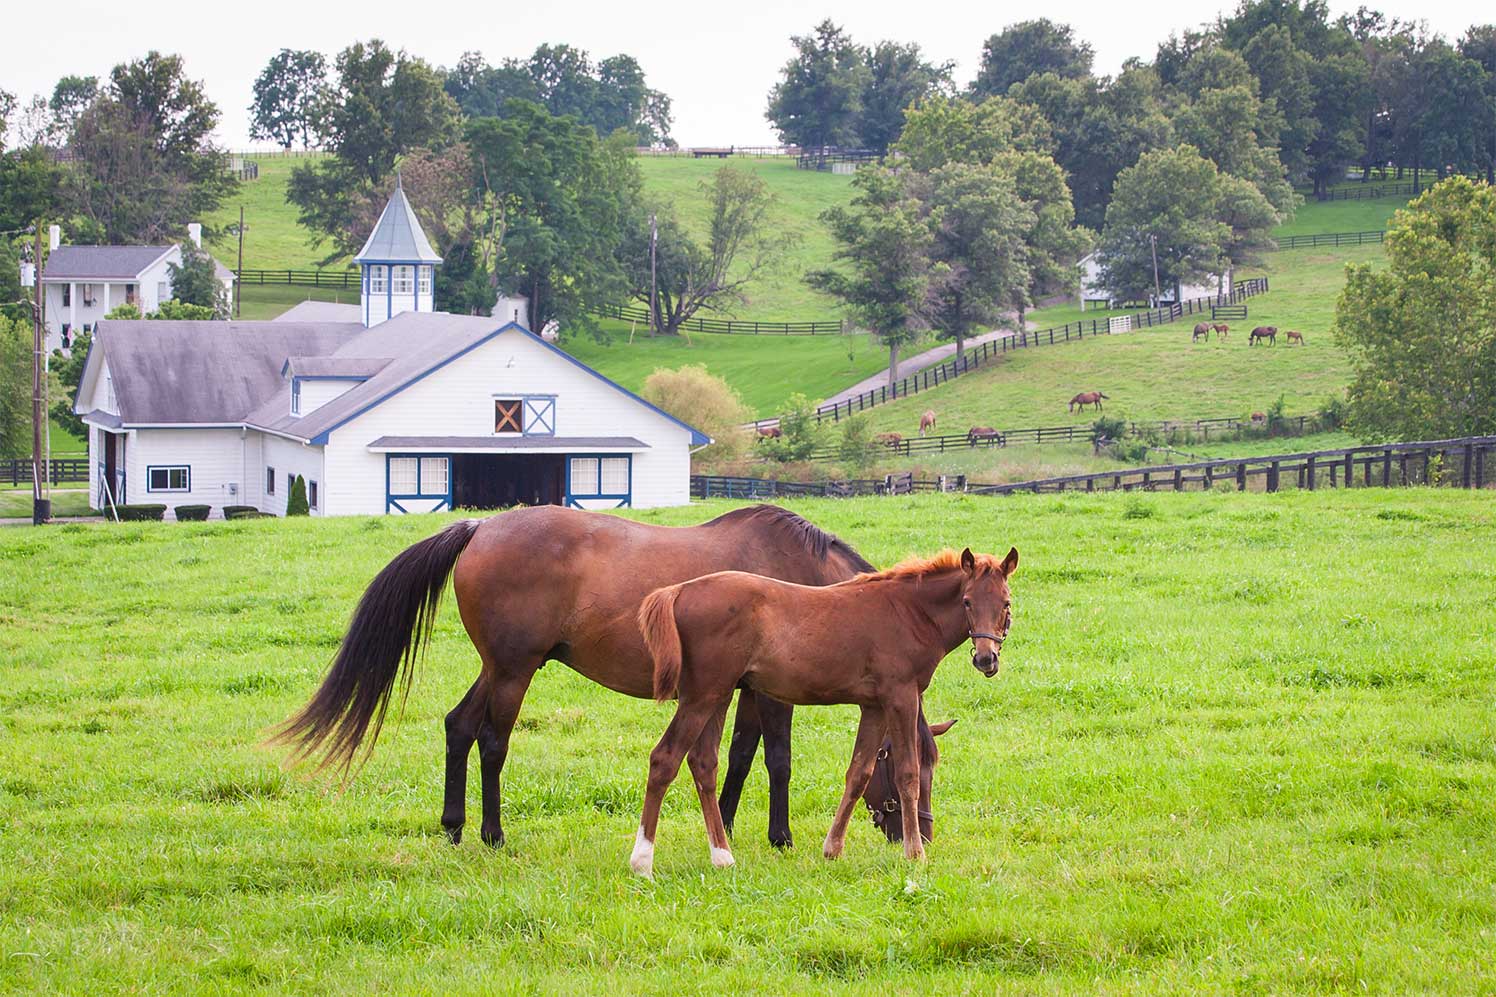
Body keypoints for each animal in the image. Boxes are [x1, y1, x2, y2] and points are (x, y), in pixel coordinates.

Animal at [270, 505, 939, 844]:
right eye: (914, 769)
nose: (922, 834)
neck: (805, 579)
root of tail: (481, 527)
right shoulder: (775, 694)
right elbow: (777, 760)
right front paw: (780, 838)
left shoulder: (745, 689)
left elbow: (741, 755)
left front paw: (723, 823)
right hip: (514, 671)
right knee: (490, 740)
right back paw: (492, 833)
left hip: (498, 667)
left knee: (458, 727)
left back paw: (455, 827)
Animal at [631, 538, 1017, 874]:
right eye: (966, 601)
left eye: (1006, 603)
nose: (986, 659)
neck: (908, 612)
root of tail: (678, 591)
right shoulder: (901, 697)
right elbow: (906, 773)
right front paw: (915, 854)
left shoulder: (874, 707)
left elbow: (858, 773)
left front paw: (832, 849)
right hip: (702, 696)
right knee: (665, 758)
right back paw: (642, 862)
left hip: (718, 695)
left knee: (702, 763)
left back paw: (722, 857)